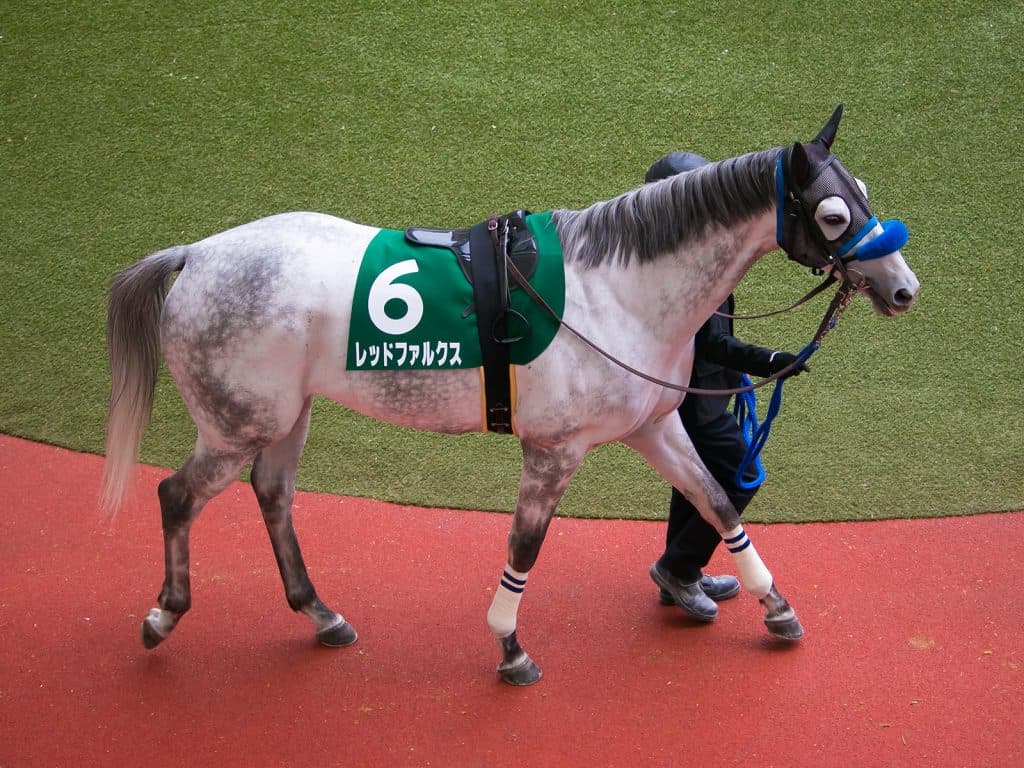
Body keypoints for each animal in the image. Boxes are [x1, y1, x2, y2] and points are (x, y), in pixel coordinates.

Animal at [102, 107, 920, 685]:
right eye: (833, 214)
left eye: (865, 194)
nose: (903, 288)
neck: (613, 290)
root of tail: (196, 254)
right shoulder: (553, 450)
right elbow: (524, 545)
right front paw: (510, 647)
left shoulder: (654, 424)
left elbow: (718, 502)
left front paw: (777, 607)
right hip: (238, 420)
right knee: (177, 495)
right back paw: (162, 616)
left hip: (286, 414)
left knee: (273, 494)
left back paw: (321, 615)